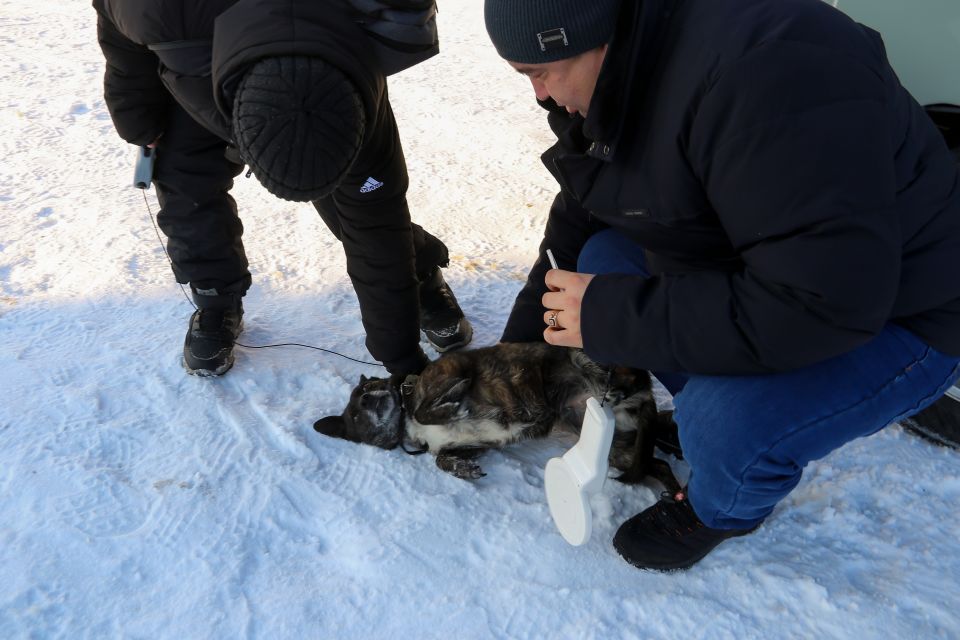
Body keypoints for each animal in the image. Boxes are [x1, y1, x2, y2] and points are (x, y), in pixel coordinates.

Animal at [316, 344, 684, 490]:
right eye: (356, 414)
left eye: (365, 391)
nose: (372, 400)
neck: (405, 418)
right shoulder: (475, 445)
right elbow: (441, 459)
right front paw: (461, 469)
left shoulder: (452, 370)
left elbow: (429, 407)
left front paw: (449, 407)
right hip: (610, 444)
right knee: (656, 464)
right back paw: (672, 491)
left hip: (583, 357)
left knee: (629, 377)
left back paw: (619, 388)